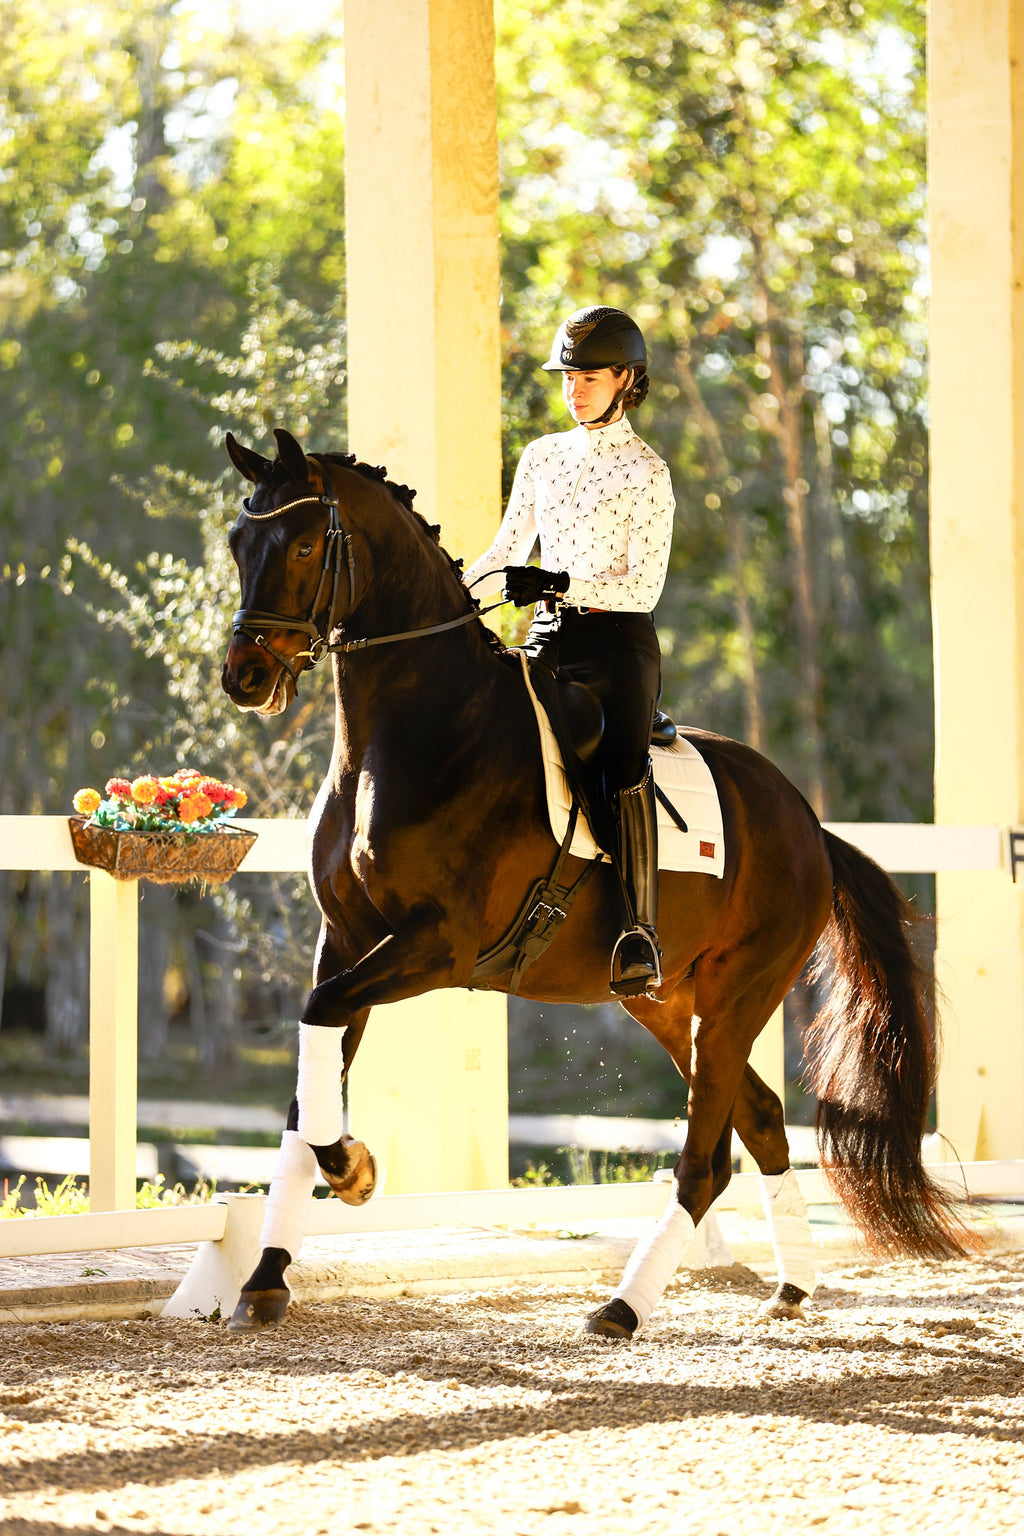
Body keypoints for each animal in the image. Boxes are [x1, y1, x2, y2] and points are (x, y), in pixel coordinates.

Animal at [219, 426, 970, 1338]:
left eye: (300, 544)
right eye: (237, 541)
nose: (244, 677)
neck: (412, 733)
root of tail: (807, 823)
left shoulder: (438, 944)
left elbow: (318, 1027)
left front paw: (354, 1170)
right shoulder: (349, 940)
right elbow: (308, 1083)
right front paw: (266, 1276)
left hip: (736, 996)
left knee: (704, 1161)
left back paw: (622, 1306)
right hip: (667, 1002)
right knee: (758, 1122)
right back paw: (791, 1287)